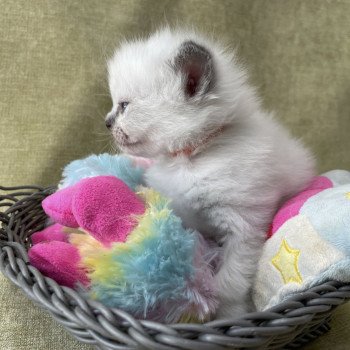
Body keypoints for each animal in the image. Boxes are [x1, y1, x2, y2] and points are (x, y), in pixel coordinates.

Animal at [105, 28, 316, 318]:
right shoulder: (181, 212)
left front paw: (227, 313)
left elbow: (230, 280)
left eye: (124, 105)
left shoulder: (243, 227)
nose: (106, 122)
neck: (191, 158)